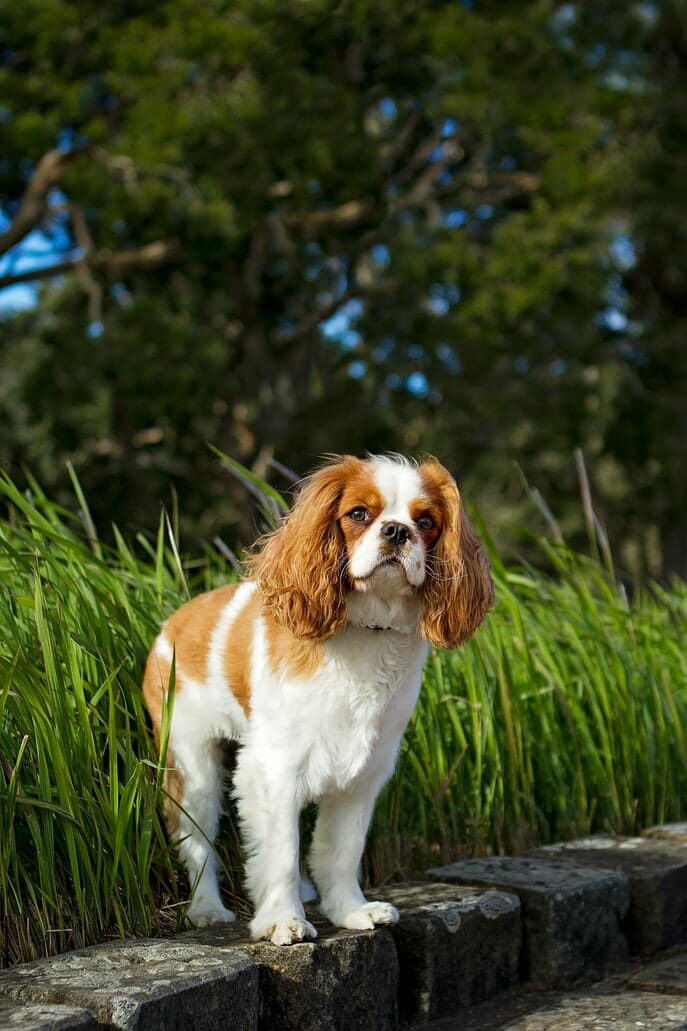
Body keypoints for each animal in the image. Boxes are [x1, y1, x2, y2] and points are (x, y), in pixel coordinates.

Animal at [141, 455, 488, 944]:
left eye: (426, 522)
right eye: (359, 514)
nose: (397, 531)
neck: (368, 631)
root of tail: (173, 624)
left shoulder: (364, 773)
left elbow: (342, 851)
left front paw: (350, 911)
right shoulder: (274, 767)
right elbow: (281, 852)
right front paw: (283, 919)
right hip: (193, 766)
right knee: (197, 842)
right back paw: (206, 909)